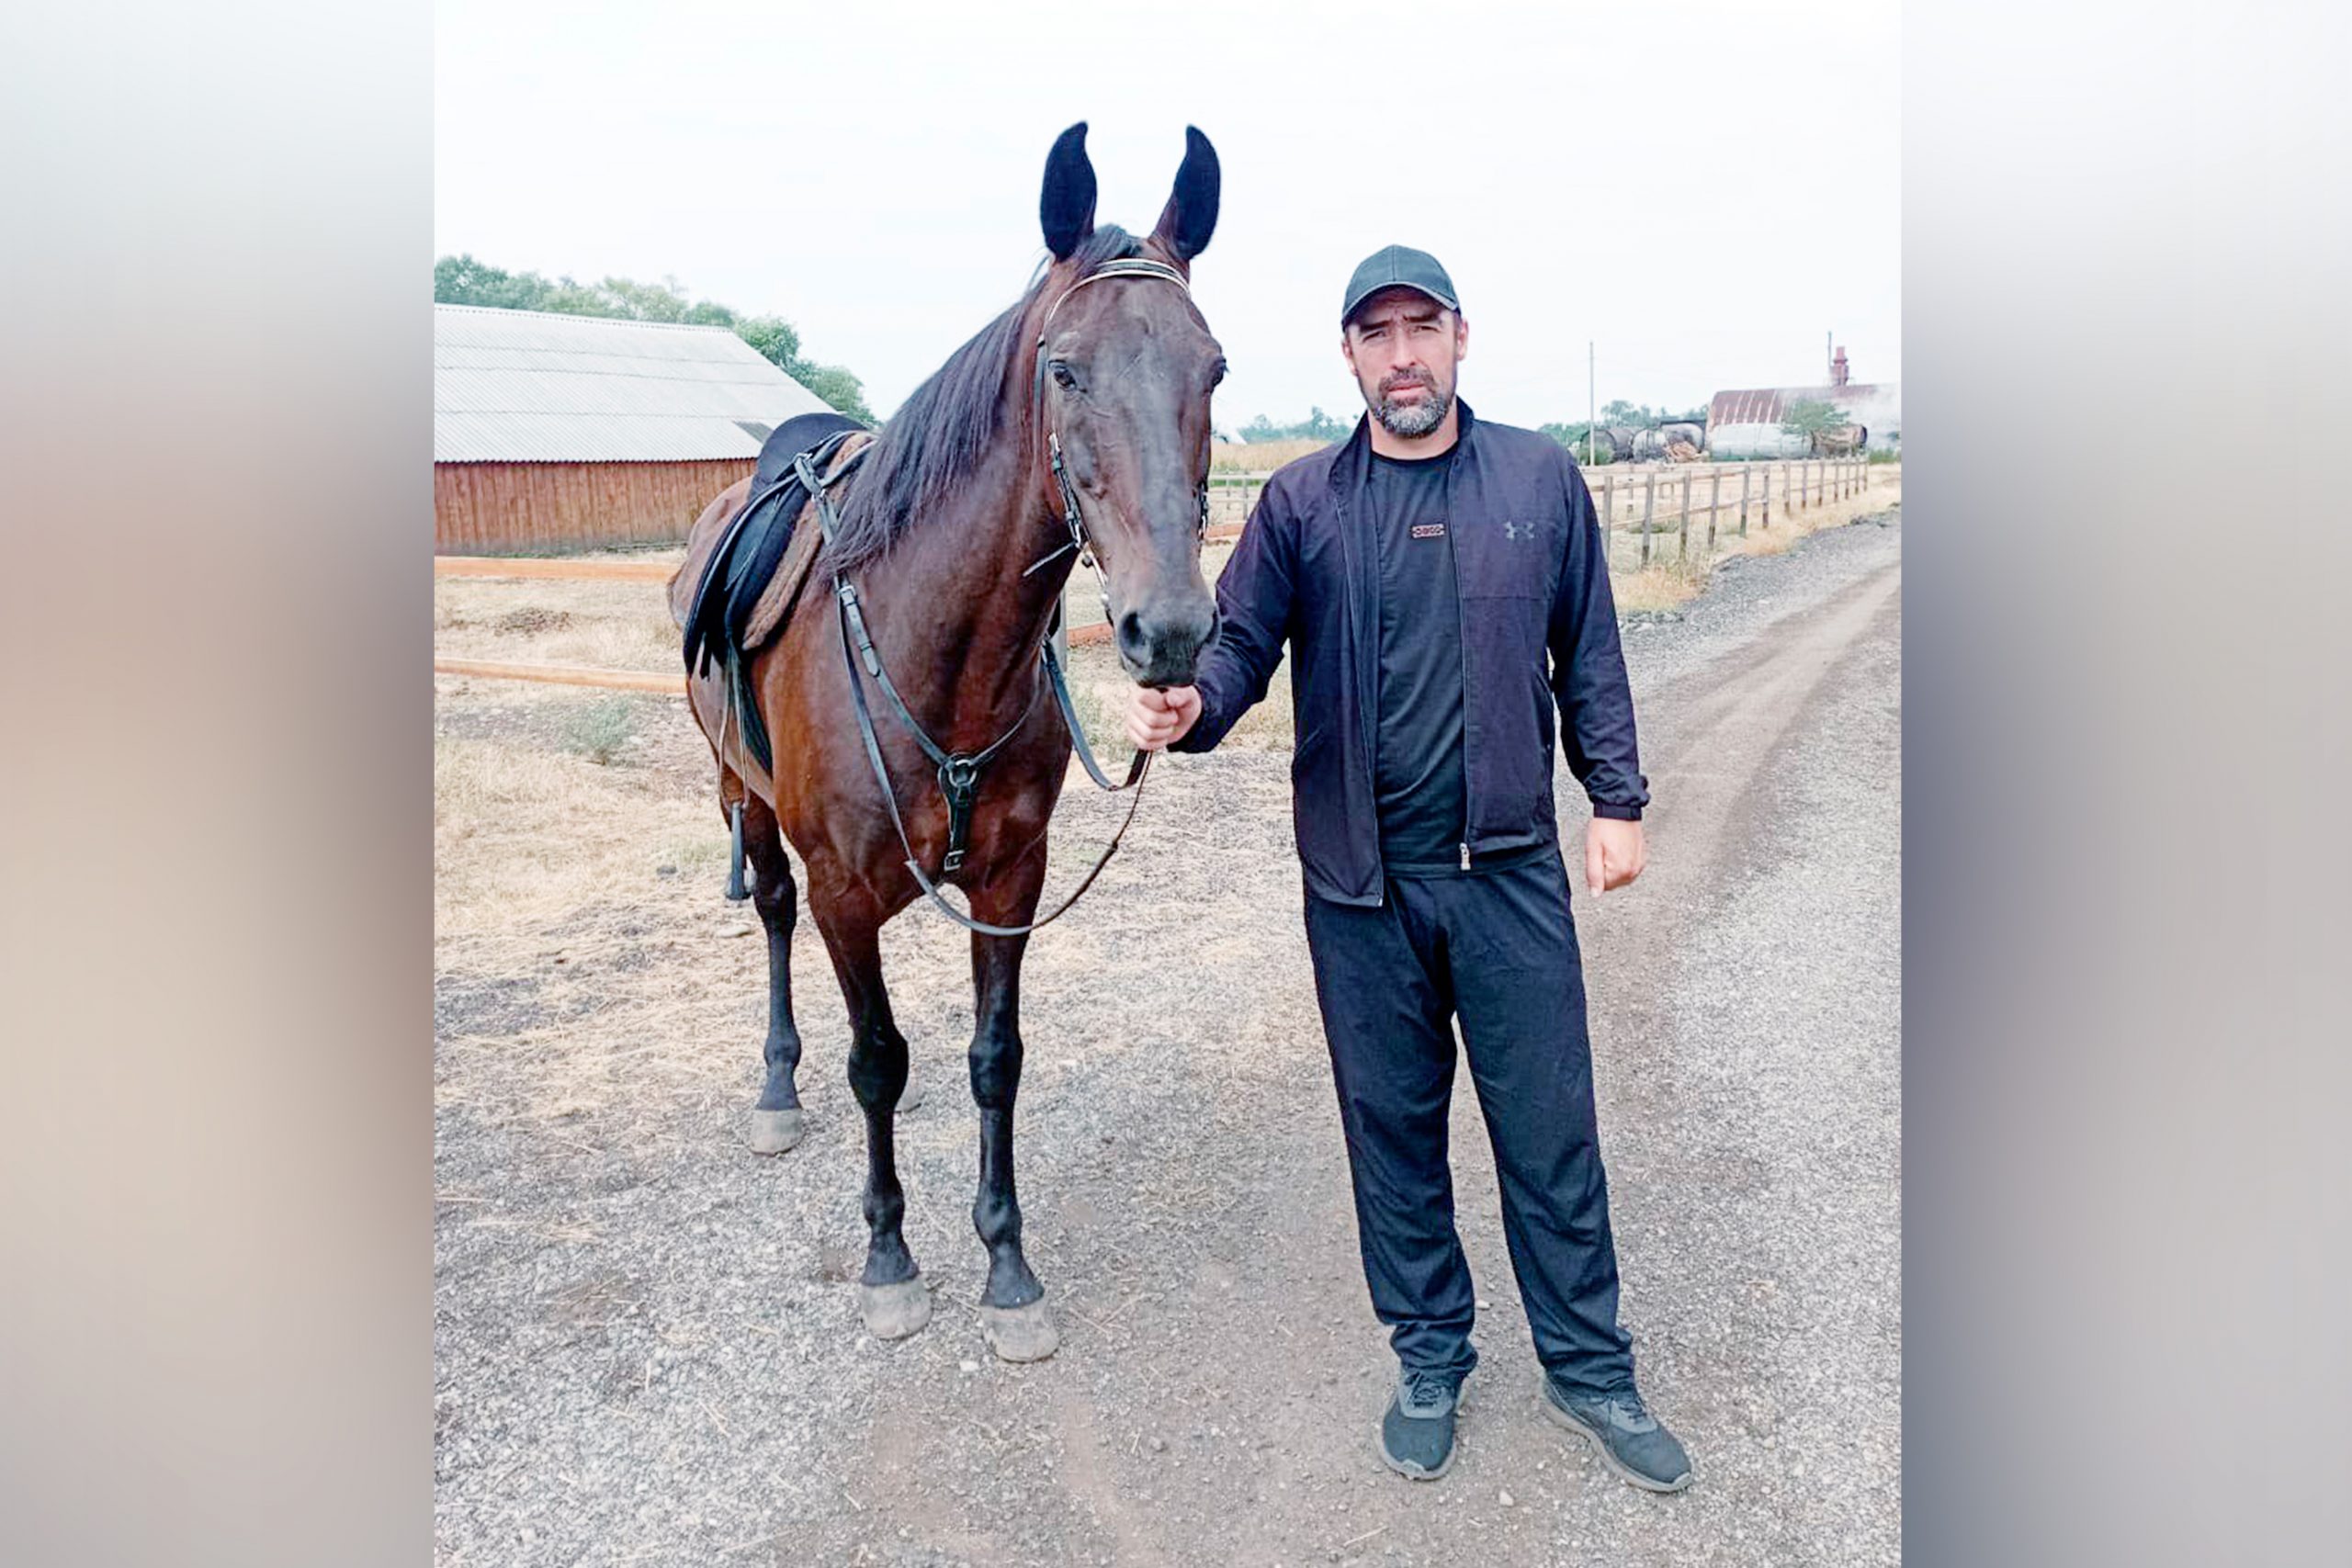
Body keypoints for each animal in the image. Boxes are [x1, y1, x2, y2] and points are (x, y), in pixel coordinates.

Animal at [669, 123, 1225, 1362]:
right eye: (1063, 370)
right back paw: (779, 1088)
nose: (1167, 631)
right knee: (772, 919)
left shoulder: (1015, 878)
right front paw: (890, 1262)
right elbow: (876, 1060)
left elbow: (991, 1060)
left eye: (1212, 369)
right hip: (742, 795)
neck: (937, 651)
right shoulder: (843, 892)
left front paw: (1007, 1264)